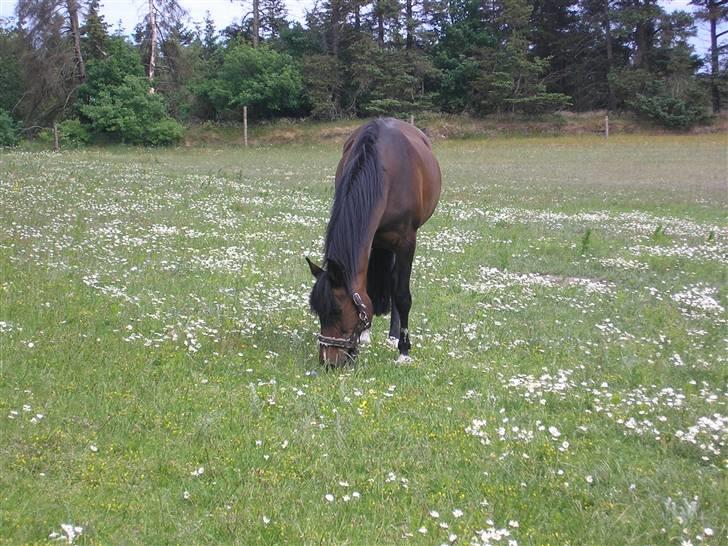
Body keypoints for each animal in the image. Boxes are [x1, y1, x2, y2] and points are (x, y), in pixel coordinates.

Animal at [306, 119, 440, 366]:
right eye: (318, 313)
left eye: (337, 312)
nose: (329, 362)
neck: (385, 171)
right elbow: (366, 288)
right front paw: (365, 333)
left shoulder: (406, 241)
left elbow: (402, 294)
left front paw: (404, 351)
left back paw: (394, 336)